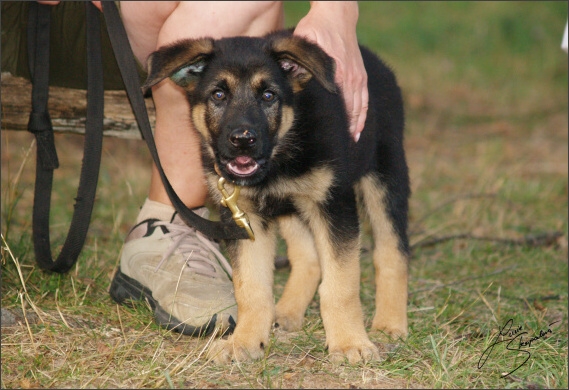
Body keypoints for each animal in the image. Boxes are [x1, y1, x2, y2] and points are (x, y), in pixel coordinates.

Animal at [142, 29, 408, 362]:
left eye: (268, 96)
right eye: (218, 95)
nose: (243, 140)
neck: (279, 157)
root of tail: (376, 62)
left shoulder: (334, 204)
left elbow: (341, 285)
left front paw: (350, 343)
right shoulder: (244, 218)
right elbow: (250, 288)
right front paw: (245, 341)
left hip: (384, 177)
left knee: (392, 252)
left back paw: (390, 322)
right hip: (292, 207)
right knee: (308, 258)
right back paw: (287, 313)